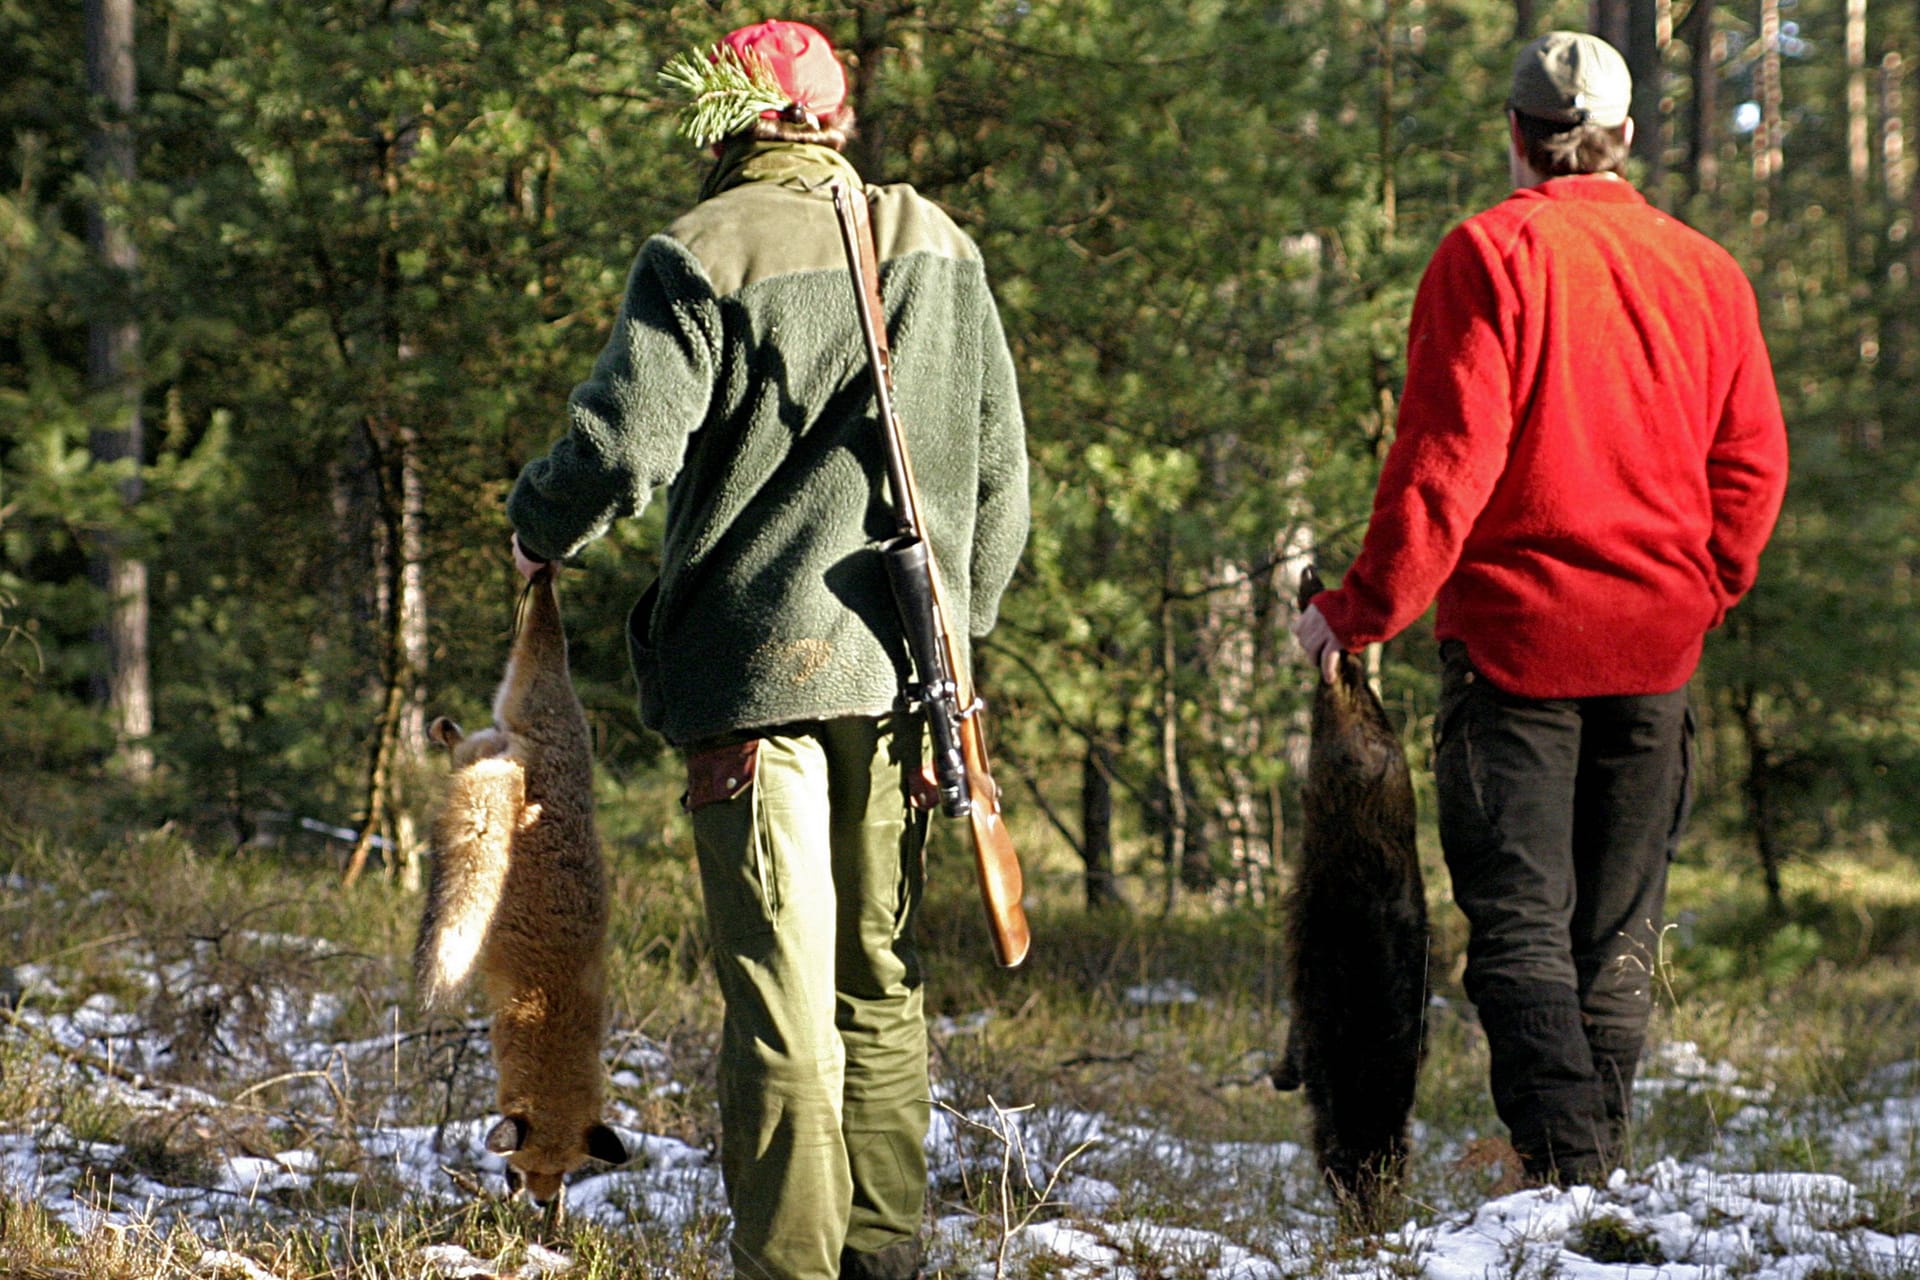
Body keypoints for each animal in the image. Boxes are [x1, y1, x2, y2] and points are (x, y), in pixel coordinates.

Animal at [418, 564, 629, 1212]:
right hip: (532, 696)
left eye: (568, 1171)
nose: (542, 1205)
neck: (551, 1012)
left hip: (513, 728)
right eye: (530, 1166)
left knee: (467, 734)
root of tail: (533, 770)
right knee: (541, 636)